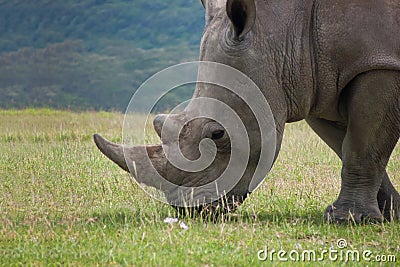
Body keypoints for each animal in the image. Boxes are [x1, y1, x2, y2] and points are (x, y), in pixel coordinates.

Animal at [94, 0, 400, 224]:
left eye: (218, 134)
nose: (190, 209)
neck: (281, 32)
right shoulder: (317, 78)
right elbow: (349, 147)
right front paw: (390, 215)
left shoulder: (380, 64)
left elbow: (361, 148)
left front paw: (348, 220)